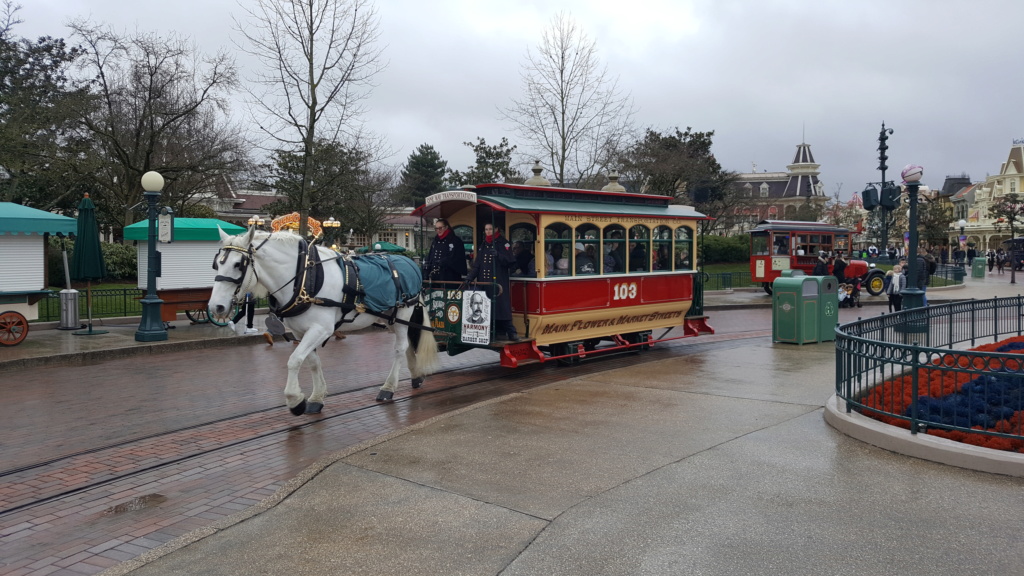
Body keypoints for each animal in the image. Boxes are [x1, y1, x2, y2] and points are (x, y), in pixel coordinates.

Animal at [209, 226, 438, 409]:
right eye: (216, 264)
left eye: (238, 264)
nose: (215, 306)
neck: (303, 278)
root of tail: (410, 262)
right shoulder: (301, 331)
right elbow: (312, 361)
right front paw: (316, 397)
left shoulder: (321, 329)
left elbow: (294, 360)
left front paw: (295, 400)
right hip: (388, 318)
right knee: (408, 344)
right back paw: (416, 376)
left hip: (403, 313)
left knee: (400, 348)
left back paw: (388, 387)